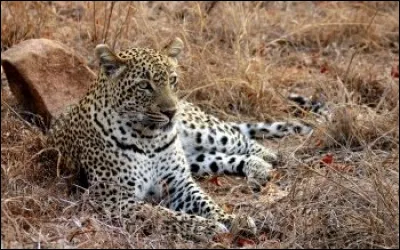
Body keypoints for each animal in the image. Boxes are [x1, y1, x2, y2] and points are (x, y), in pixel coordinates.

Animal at [49, 37, 328, 240]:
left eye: (172, 80)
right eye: (144, 85)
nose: (171, 112)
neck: (147, 138)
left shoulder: (179, 182)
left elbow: (208, 203)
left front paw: (231, 219)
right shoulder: (111, 199)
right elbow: (161, 214)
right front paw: (208, 228)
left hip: (204, 132)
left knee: (243, 140)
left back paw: (268, 161)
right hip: (196, 158)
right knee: (224, 158)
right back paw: (258, 168)